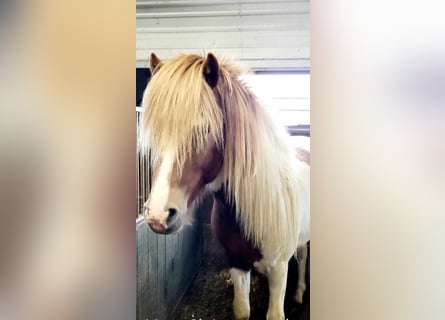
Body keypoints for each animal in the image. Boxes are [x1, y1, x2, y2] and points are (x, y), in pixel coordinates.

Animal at [140, 53, 308, 320]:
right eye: (154, 132)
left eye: (205, 129)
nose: (158, 215)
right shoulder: (236, 263)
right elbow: (241, 310)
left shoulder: (280, 268)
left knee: (302, 257)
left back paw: (300, 292)